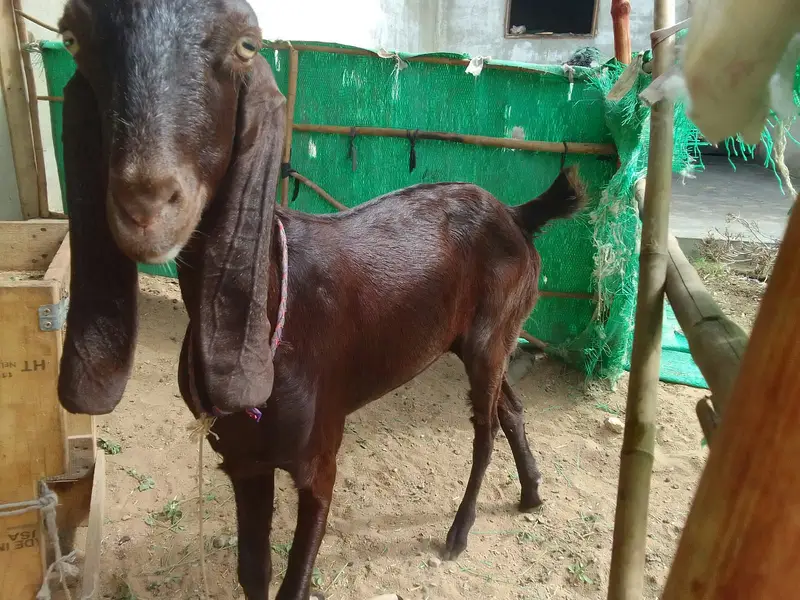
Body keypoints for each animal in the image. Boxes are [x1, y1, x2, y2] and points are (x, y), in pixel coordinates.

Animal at [56, 1, 586, 598]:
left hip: (490, 335)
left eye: (245, 46)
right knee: (509, 408)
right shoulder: (243, 459)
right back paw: (532, 492)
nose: (144, 201)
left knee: (486, 427)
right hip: (482, 336)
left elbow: (295, 576)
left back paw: (460, 530)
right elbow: (253, 571)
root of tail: (518, 215)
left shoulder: (319, 457)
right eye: (72, 39)